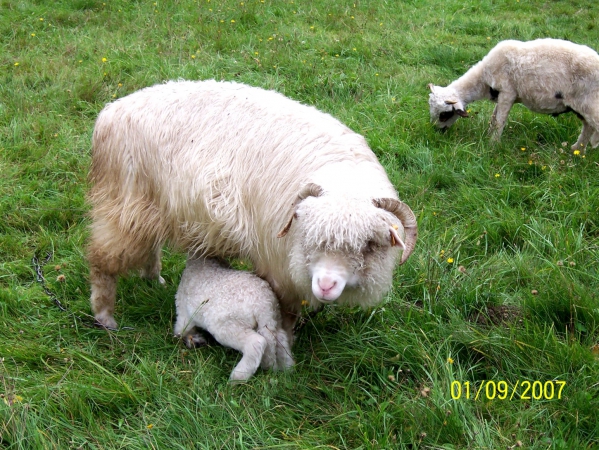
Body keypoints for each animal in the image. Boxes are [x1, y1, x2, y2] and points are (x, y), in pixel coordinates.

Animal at [88, 79, 418, 340]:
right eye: (310, 238)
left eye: (368, 246)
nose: (325, 286)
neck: (345, 178)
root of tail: (111, 111)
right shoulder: (279, 265)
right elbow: (285, 313)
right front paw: (287, 341)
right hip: (121, 203)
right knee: (103, 260)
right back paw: (105, 316)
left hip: (151, 207)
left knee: (149, 245)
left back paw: (152, 280)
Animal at [428, 38, 599, 151]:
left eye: (444, 115)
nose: (436, 131)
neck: (483, 79)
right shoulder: (501, 95)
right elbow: (493, 117)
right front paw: (488, 135)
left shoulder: (507, 92)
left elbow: (499, 121)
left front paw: (493, 144)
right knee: (588, 127)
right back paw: (576, 150)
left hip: (591, 102)